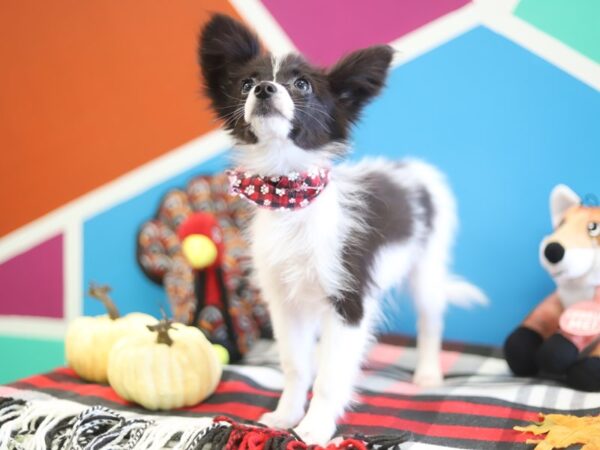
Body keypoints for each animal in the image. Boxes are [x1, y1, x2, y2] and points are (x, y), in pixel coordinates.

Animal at [199, 14, 486, 446]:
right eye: (247, 83)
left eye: (302, 85)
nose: (266, 89)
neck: (290, 195)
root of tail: (413, 170)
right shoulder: (285, 302)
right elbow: (297, 365)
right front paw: (284, 417)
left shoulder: (349, 301)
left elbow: (332, 375)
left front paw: (314, 428)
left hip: (427, 266)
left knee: (430, 319)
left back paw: (427, 371)